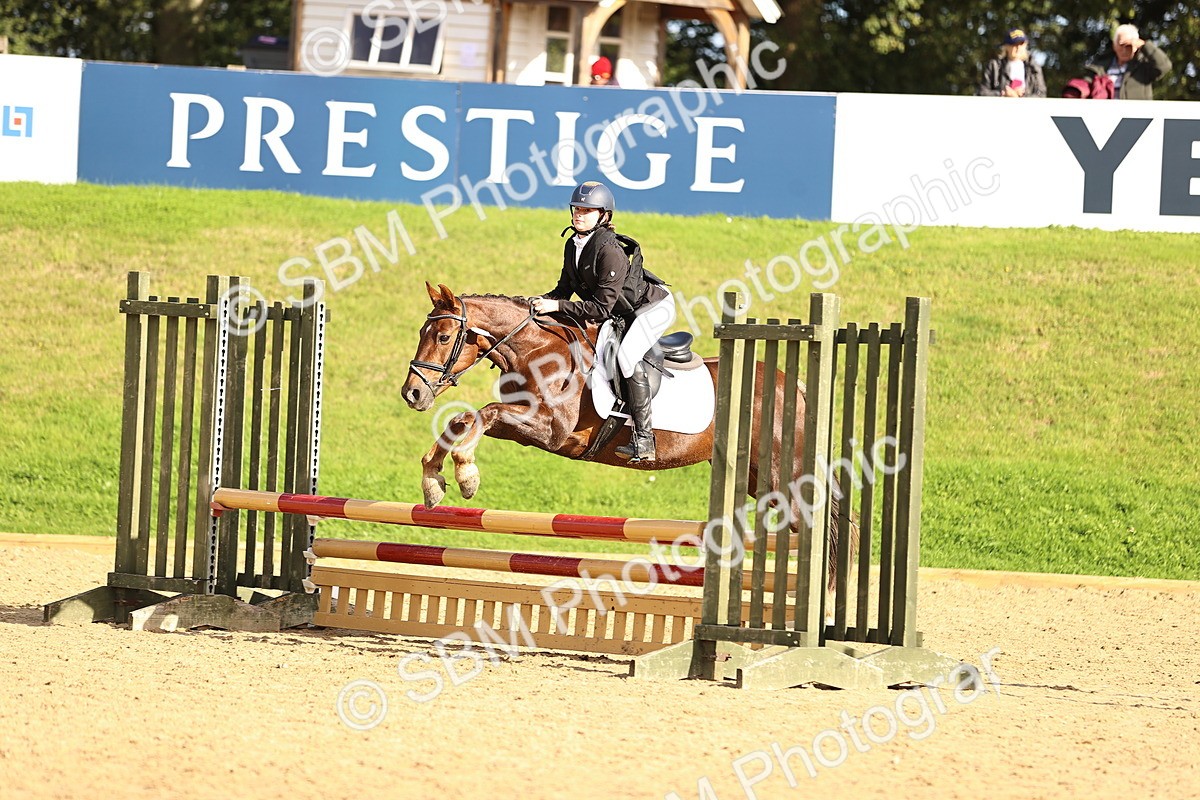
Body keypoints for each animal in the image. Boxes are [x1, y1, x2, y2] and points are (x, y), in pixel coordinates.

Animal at [402, 283, 853, 594]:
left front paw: (466, 475)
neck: (538, 350)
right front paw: (433, 480)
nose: (413, 393)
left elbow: (482, 414)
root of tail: (793, 385)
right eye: (422, 332)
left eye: (443, 337)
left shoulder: (552, 431)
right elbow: (463, 419)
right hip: (758, 478)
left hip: (783, 475)